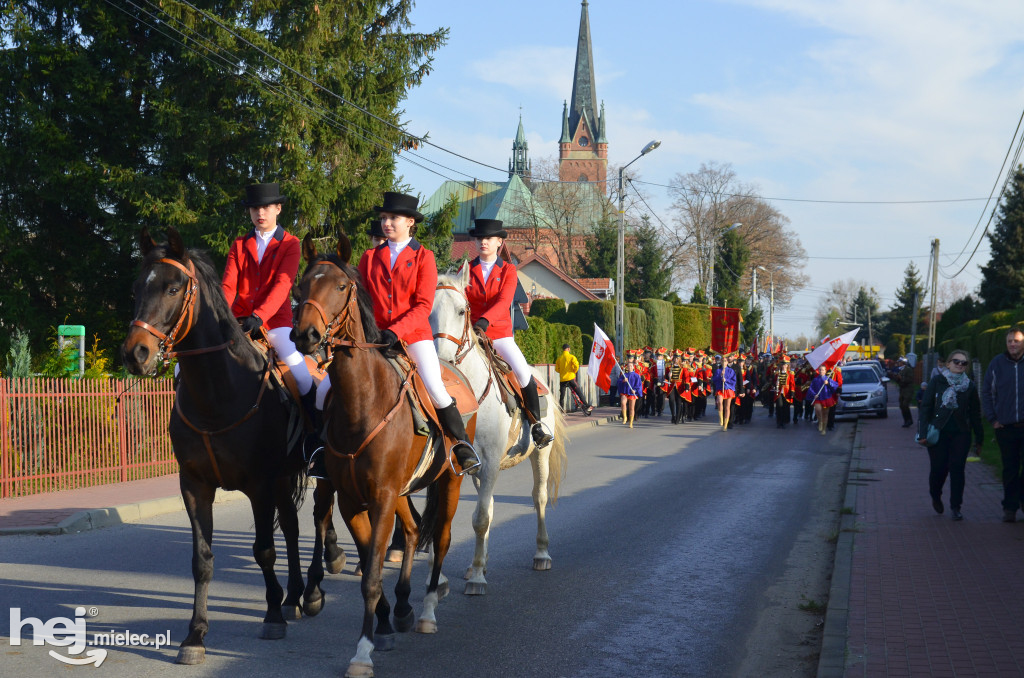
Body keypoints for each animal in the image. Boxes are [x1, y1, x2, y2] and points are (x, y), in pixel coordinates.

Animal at [119, 228, 344, 663]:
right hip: (283, 478)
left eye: (173, 288)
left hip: (312, 475)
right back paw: (293, 594)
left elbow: (264, 550)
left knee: (318, 520)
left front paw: (272, 617)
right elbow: (202, 559)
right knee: (293, 528)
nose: (135, 353)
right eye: (136, 288)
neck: (217, 394)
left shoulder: (259, 484)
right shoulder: (194, 485)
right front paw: (195, 635)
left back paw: (311, 591)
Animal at [292, 232, 468, 678]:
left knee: (441, 540)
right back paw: (404, 606)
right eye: (300, 287)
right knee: (412, 531)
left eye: (340, 286)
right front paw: (384, 624)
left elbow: (372, 573)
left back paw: (426, 609)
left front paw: (363, 651)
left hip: (450, 481)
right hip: (401, 492)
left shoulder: (383, 497)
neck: (362, 401)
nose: (305, 335)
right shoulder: (356, 500)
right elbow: (368, 568)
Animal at [425, 270, 565, 594]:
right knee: (487, 505)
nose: (441, 362)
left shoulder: (489, 464)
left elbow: (480, 519)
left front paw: (477, 577)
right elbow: (454, 520)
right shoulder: (458, 468)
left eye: (461, 311)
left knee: (537, 498)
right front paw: (441, 578)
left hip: (539, 455)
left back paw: (541, 554)